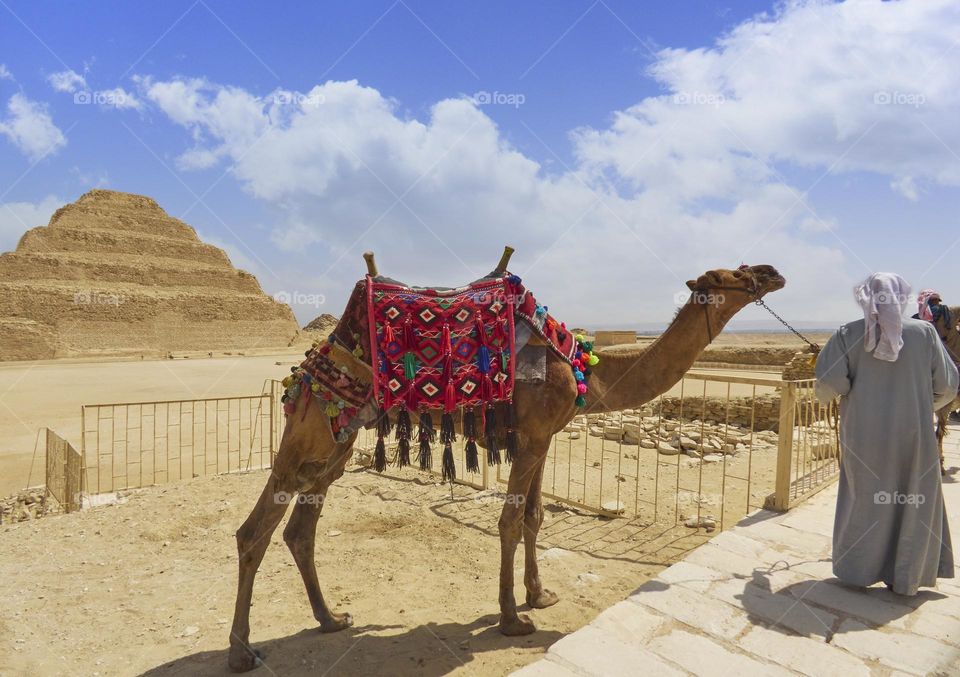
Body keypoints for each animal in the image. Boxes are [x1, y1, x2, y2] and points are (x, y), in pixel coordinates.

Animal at [226, 252, 786, 671]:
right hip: (312, 429)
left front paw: (539, 596)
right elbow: (511, 520)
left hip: (338, 441)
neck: (584, 369)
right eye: (730, 275)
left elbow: (535, 517)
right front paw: (512, 619)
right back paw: (241, 652)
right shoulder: (534, 436)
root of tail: (310, 362)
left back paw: (330, 619)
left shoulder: (540, 439)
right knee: (255, 529)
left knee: (300, 528)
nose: (773, 271)